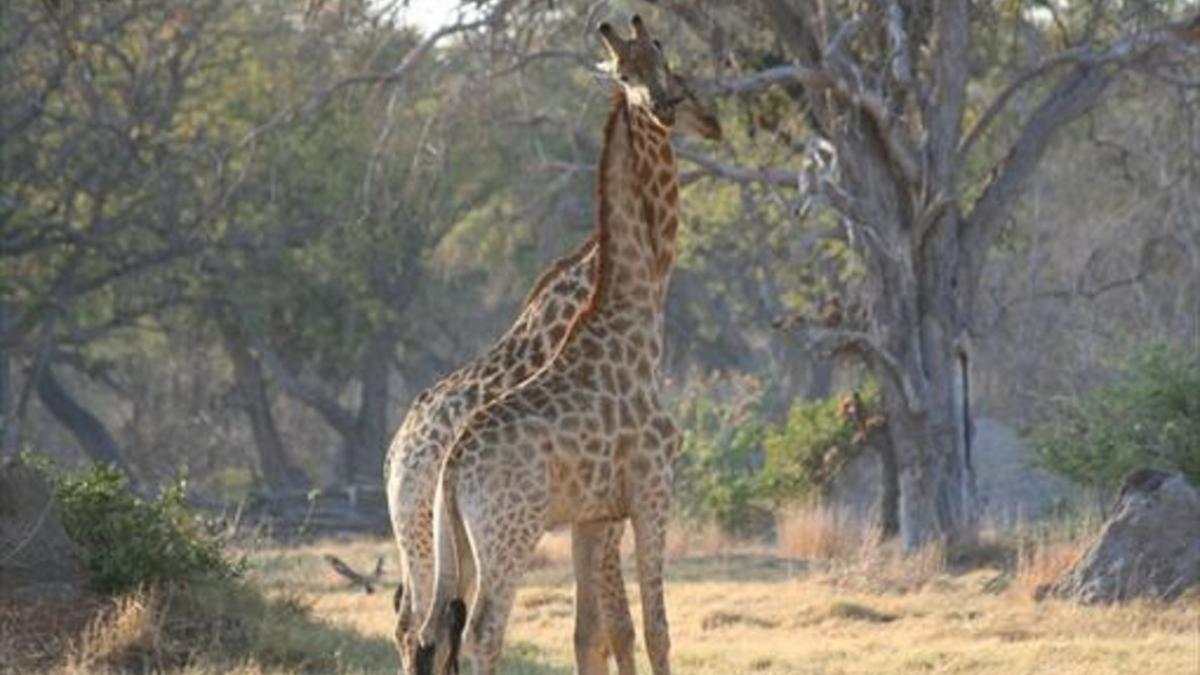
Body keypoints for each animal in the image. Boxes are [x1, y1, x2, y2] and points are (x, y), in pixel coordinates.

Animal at [388, 47, 715, 672]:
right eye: (682, 85)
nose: (713, 120)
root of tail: (398, 458)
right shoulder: (632, 497)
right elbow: (626, 627)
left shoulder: (596, 513)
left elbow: (594, 630)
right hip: (483, 536)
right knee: (469, 629)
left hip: (429, 540)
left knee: (420, 625)